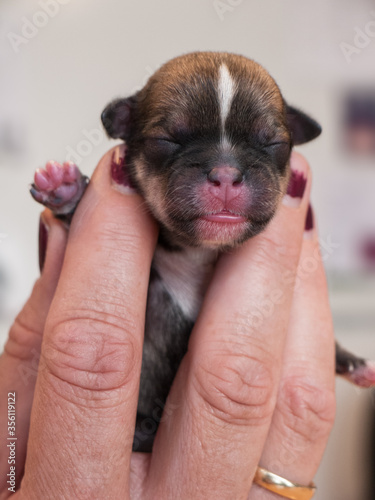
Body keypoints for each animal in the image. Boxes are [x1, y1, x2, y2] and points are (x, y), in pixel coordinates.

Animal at [30, 51, 375, 454]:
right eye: (167, 139)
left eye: (273, 143)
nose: (226, 173)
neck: (199, 253)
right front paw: (66, 191)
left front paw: (352, 361)